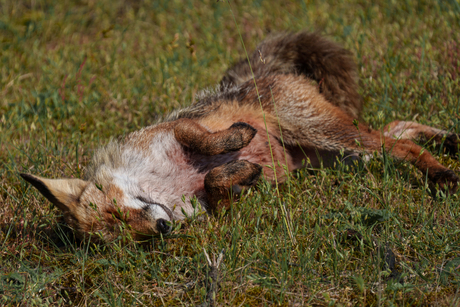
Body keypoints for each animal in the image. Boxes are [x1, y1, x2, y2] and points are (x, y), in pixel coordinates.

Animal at [21, 31, 460, 243]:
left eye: (117, 211)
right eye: (127, 239)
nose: (162, 229)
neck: (169, 188)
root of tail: (259, 74)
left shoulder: (172, 129)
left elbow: (204, 141)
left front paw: (237, 141)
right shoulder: (217, 209)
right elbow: (220, 183)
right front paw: (244, 171)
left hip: (326, 133)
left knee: (401, 144)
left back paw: (442, 173)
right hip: (338, 156)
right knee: (398, 132)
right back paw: (449, 142)